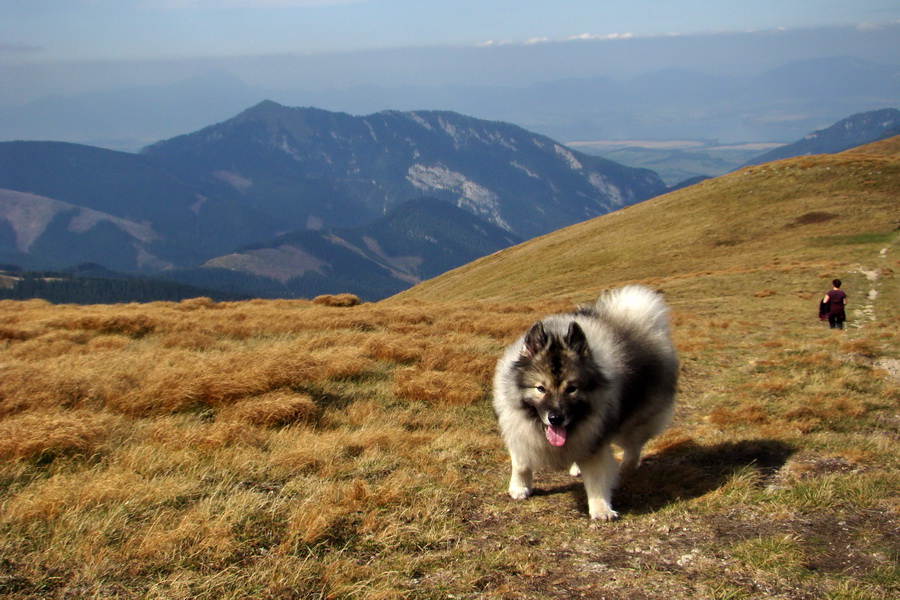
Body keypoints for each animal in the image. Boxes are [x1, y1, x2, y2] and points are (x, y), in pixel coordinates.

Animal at [496, 286, 680, 520]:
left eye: (572, 388)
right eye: (541, 389)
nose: (556, 419)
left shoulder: (596, 438)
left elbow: (596, 477)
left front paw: (601, 508)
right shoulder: (518, 429)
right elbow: (521, 463)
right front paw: (519, 488)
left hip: (634, 420)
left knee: (633, 446)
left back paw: (626, 469)